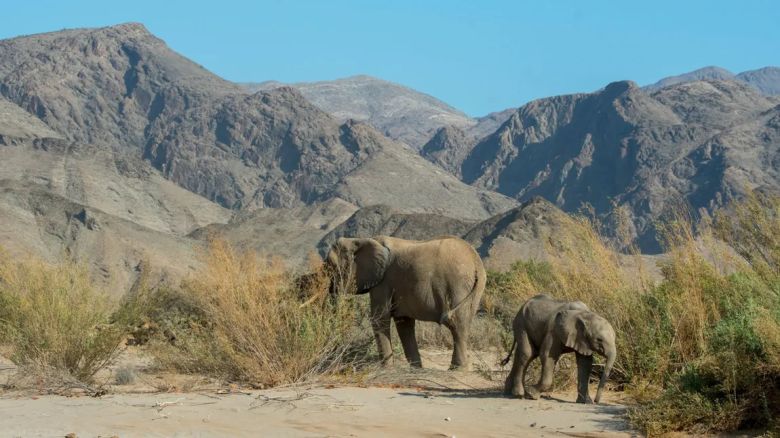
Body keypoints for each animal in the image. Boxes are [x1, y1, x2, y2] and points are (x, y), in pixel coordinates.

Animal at [324, 236, 484, 370]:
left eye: (331, 266)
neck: (359, 239)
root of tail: (476, 262)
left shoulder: (383, 282)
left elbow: (380, 318)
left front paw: (387, 369)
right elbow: (404, 323)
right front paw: (416, 369)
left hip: (457, 284)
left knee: (456, 323)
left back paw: (457, 370)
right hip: (473, 290)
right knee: (463, 323)